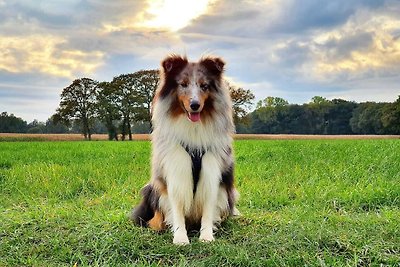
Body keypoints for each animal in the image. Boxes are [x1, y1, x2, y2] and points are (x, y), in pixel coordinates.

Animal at [131, 55, 239, 246]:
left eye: (204, 86)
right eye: (183, 84)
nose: (195, 105)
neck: (193, 127)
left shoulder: (211, 171)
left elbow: (208, 209)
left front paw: (206, 236)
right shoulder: (175, 168)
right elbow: (177, 208)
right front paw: (180, 238)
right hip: (152, 188)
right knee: (156, 214)